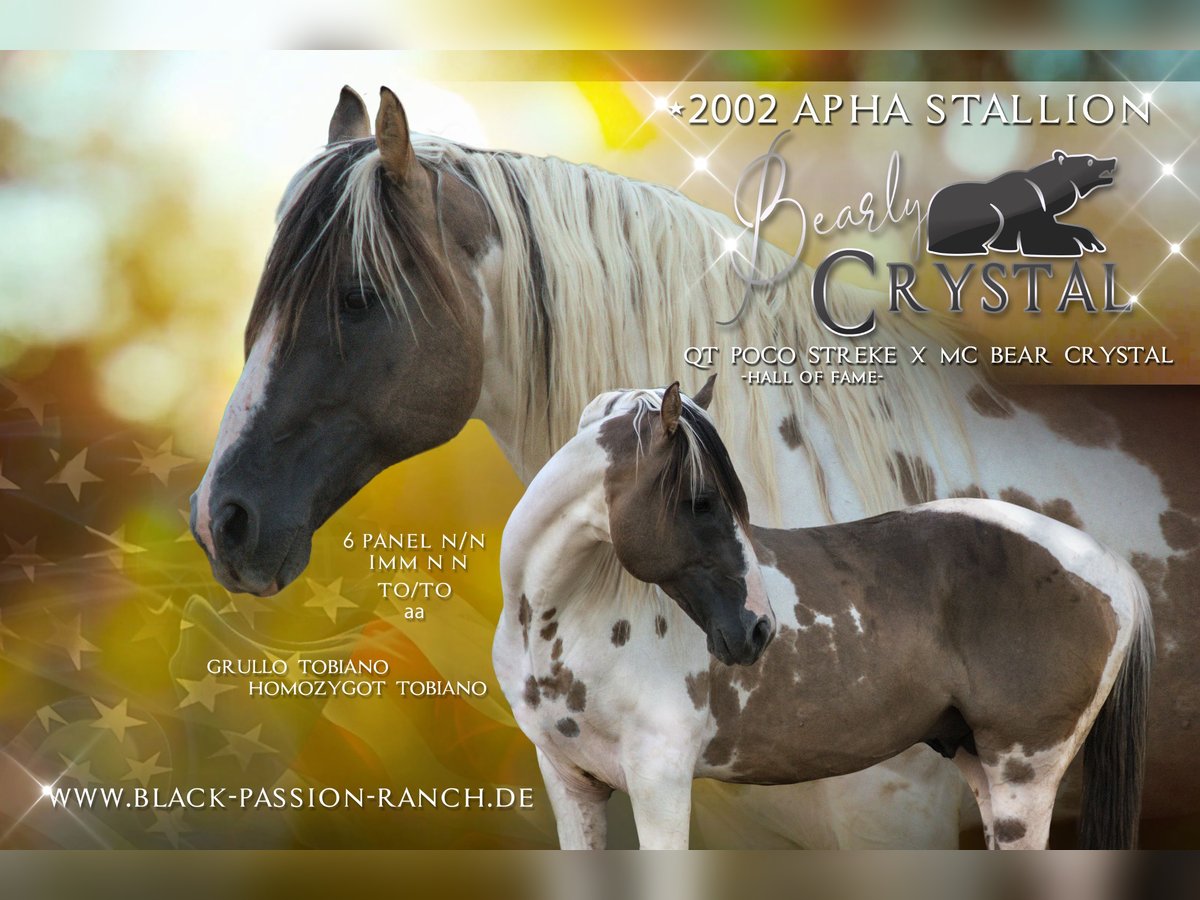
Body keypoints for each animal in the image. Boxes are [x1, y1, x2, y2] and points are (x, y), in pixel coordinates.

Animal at [495, 379, 1154, 849]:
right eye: (702, 501)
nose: (757, 630)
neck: (564, 619)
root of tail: (1109, 566)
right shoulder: (571, 783)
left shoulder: (660, 781)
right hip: (980, 762)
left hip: (1025, 773)